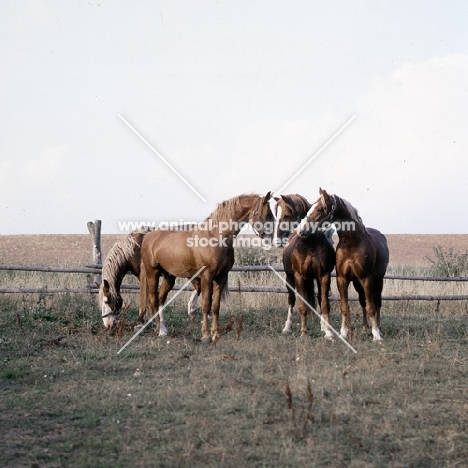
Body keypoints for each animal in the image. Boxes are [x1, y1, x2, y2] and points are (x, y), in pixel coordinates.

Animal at [139, 192, 274, 342]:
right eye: (268, 213)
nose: (270, 238)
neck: (216, 237)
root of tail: (148, 236)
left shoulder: (221, 277)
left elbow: (215, 306)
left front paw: (215, 333)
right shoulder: (206, 276)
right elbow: (206, 305)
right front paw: (206, 335)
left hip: (169, 277)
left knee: (161, 298)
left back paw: (163, 328)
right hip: (152, 273)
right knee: (153, 299)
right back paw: (160, 330)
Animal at [272, 193, 334, 336]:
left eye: (286, 215)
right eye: (276, 214)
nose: (277, 241)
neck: (310, 244)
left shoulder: (324, 276)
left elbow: (324, 303)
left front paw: (328, 332)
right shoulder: (298, 276)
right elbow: (302, 305)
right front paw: (304, 333)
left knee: (319, 297)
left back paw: (323, 326)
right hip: (289, 278)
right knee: (291, 299)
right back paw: (287, 327)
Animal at [298, 188, 390, 342]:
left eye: (320, 208)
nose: (301, 230)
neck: (352, 243)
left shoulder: (366, 279)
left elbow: (371, 307)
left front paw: (376, 336)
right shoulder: (342, 279)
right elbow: (345, 307)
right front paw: (343, 333)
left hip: (378, 281)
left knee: (377, 303)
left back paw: (378, 328)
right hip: (357, 283)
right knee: (363, 302)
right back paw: (364, 329)